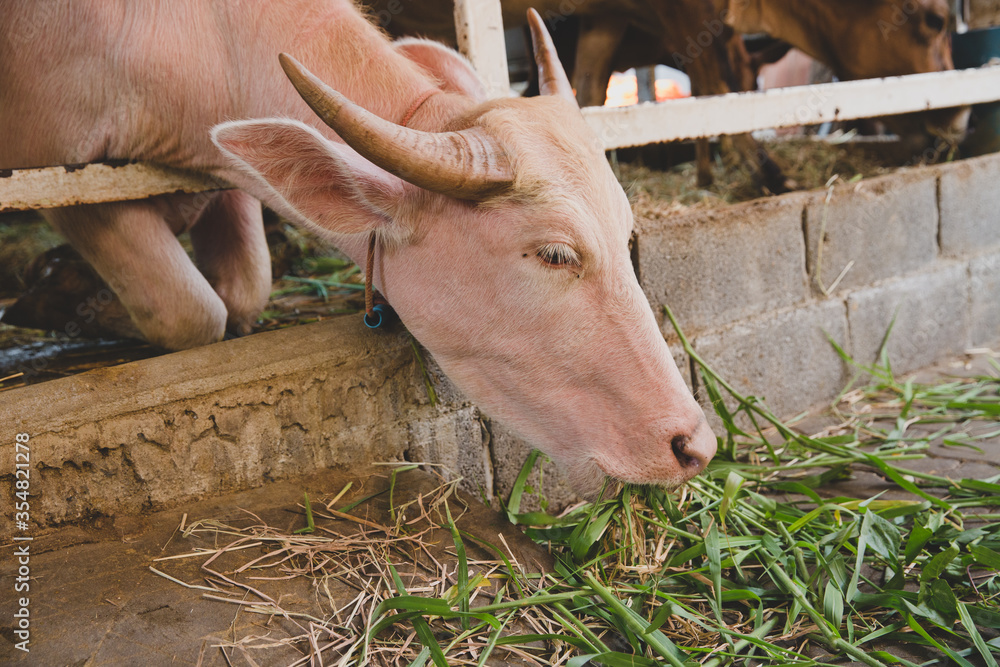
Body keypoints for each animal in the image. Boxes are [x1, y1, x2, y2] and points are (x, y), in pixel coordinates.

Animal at [0, 1, 720, 490]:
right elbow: (191, 312)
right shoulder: (76, 183)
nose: (694, 444)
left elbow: (243, 292)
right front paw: (60, 297)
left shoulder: (226, 177)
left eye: (626, 234)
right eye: (553, 253)